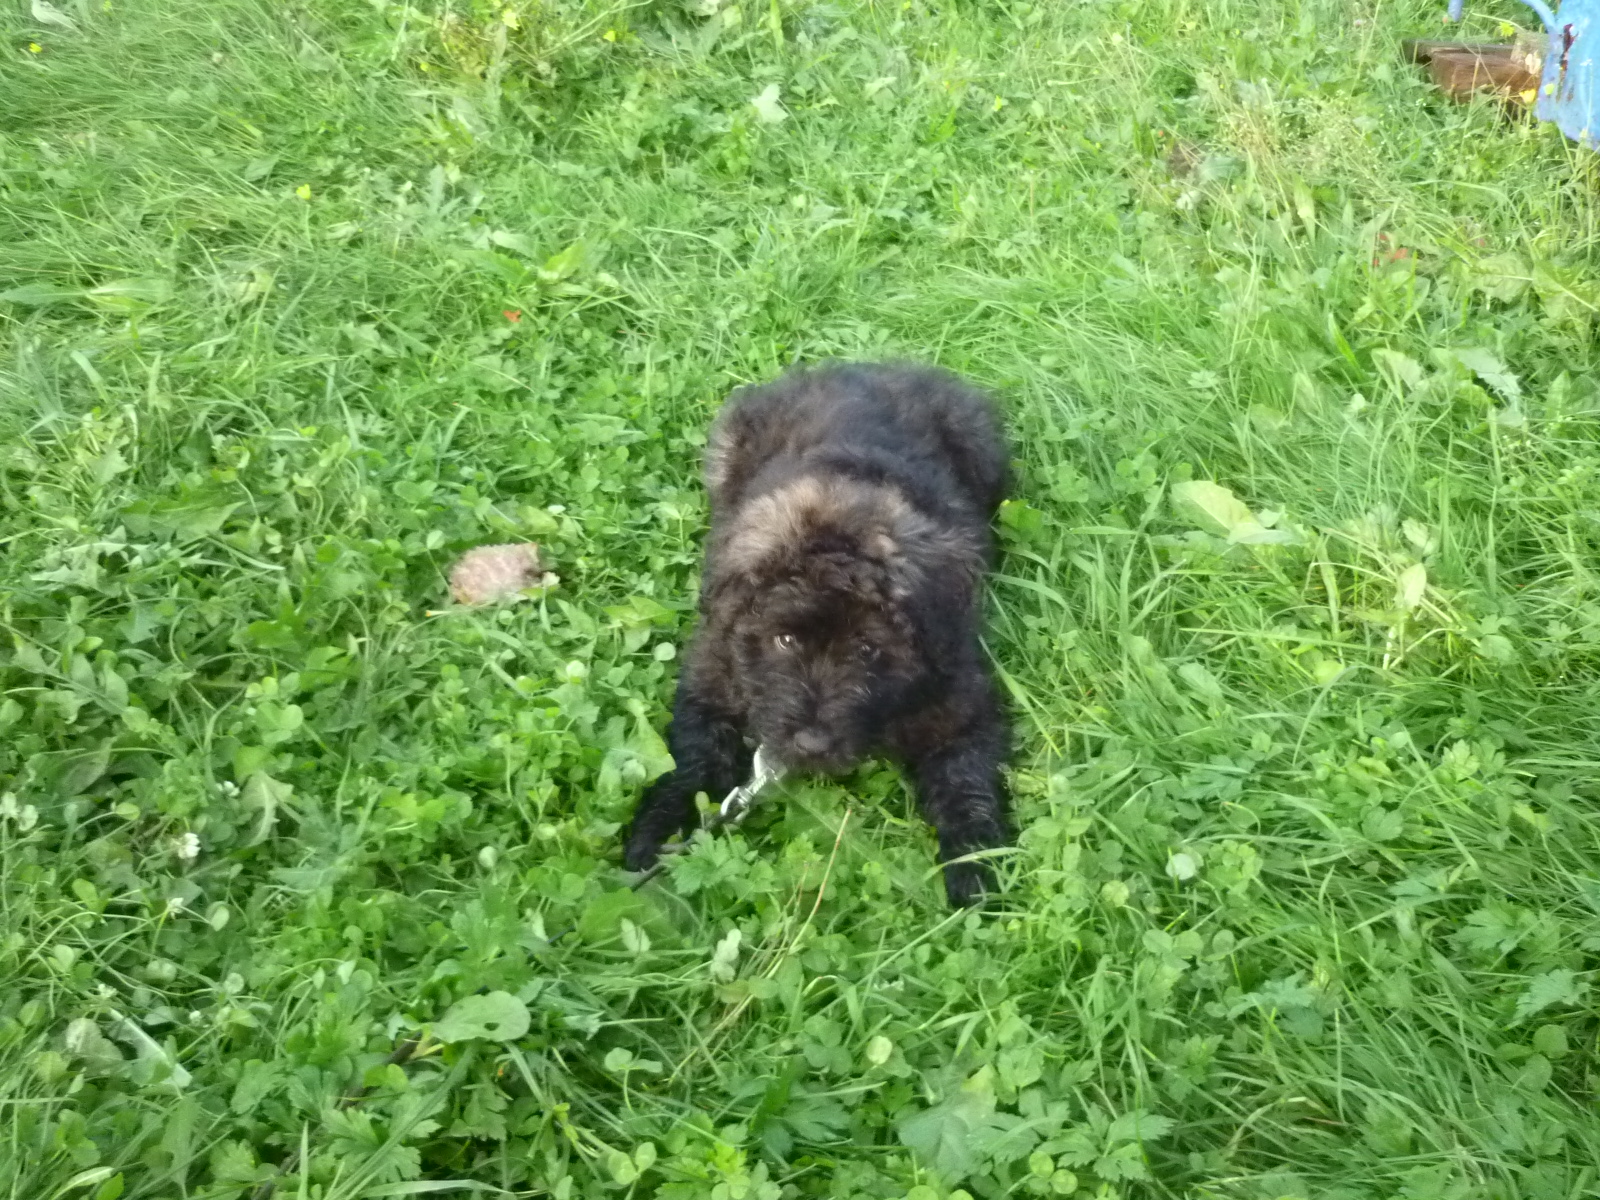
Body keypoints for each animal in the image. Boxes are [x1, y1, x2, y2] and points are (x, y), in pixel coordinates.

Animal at [622, 362, 1010, 907]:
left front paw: (975, 866)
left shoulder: (959, 704)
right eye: (784, 641)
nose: (809, 744)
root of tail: (870, 365)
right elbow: (694, 760)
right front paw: (658, 830)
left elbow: (964, 783)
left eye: (868, 649)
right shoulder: (714, 676)